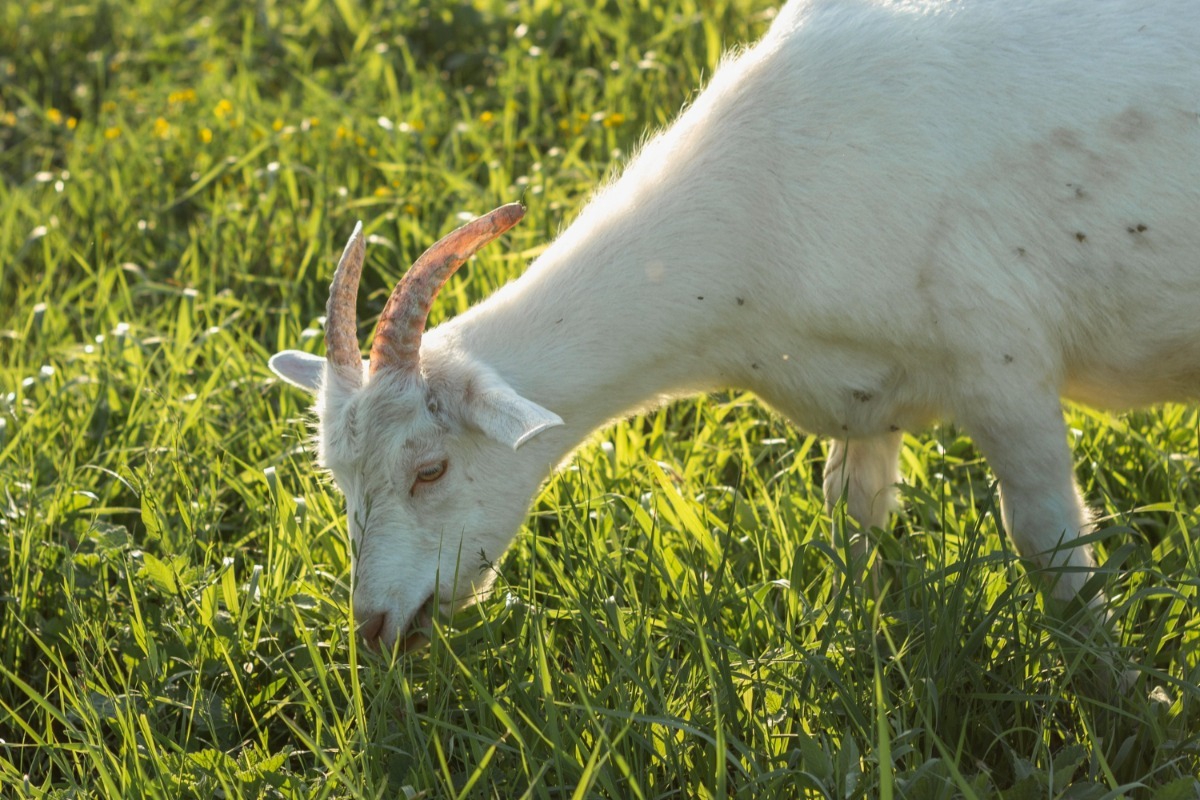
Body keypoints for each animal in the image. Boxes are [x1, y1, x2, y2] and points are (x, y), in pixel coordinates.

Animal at [270, 0, 1200, 647]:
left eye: (429, 470)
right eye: (337, 478)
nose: (373, 628)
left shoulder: (1001, 363)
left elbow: (1049, 545)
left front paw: (1123, 695)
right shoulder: (864, 397)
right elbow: (853, 518)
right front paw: (867, 647)